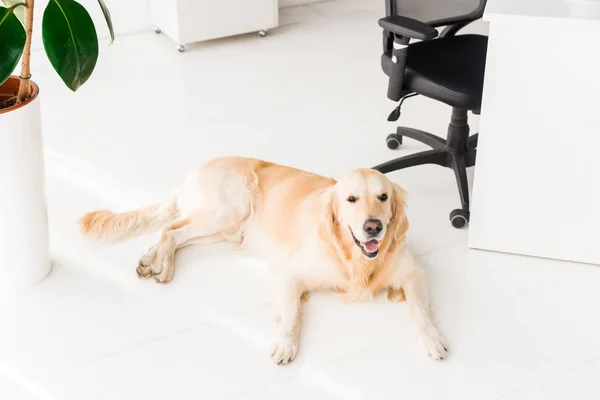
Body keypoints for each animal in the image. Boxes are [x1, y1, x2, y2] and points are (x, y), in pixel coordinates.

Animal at [78, 158, 446, 364]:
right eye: (351, 199)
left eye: (383, 197)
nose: (374, 226)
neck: (356, 258)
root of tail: (196, 171)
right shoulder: (291, 274)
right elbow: (292, 315)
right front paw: (285, 345)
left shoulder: (414, 272)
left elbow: (420, 311)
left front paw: (432, 339)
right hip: (226, 212)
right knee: (170, 228)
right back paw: (161, 264)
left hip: (225, 229)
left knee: (173, 231)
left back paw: (153, 261)